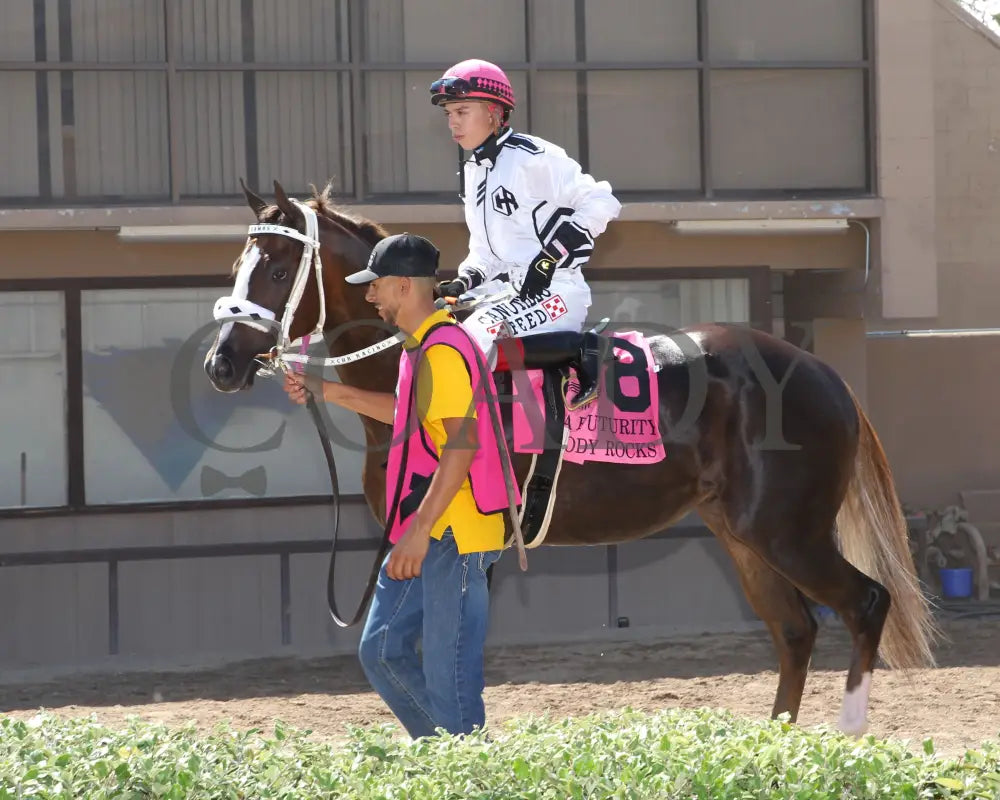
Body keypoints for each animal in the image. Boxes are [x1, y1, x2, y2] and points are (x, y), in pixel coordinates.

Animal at [203, 180, 936, 736]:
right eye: (238, 267)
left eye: (276, 269)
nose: (221, 364)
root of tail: (820, 370)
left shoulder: (463, 543)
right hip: (743, 536)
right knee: (794, 630)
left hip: (788, 534)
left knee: (866, 603)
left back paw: (846, 736)